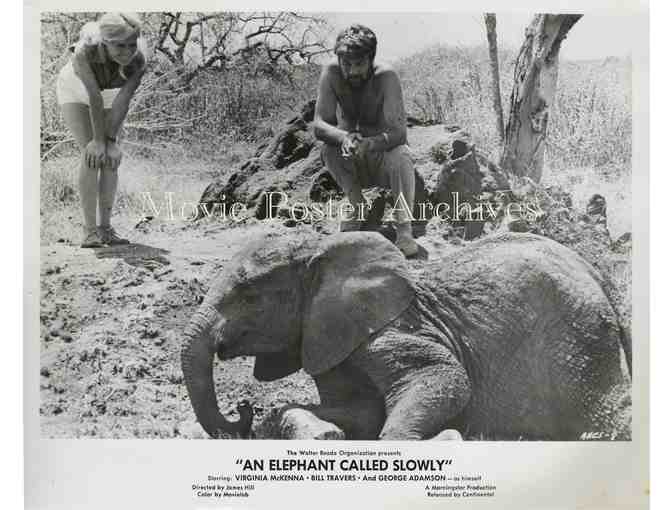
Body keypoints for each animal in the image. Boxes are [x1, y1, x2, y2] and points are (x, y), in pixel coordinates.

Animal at [180, 229, 631, 441]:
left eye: (249, 295)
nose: (243, 409)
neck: (324, 250)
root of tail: (597, 275)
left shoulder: (388, 331)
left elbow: (446, 378)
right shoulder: (330, 343)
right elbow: (362, 412)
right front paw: (287, 419)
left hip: (582, 341)